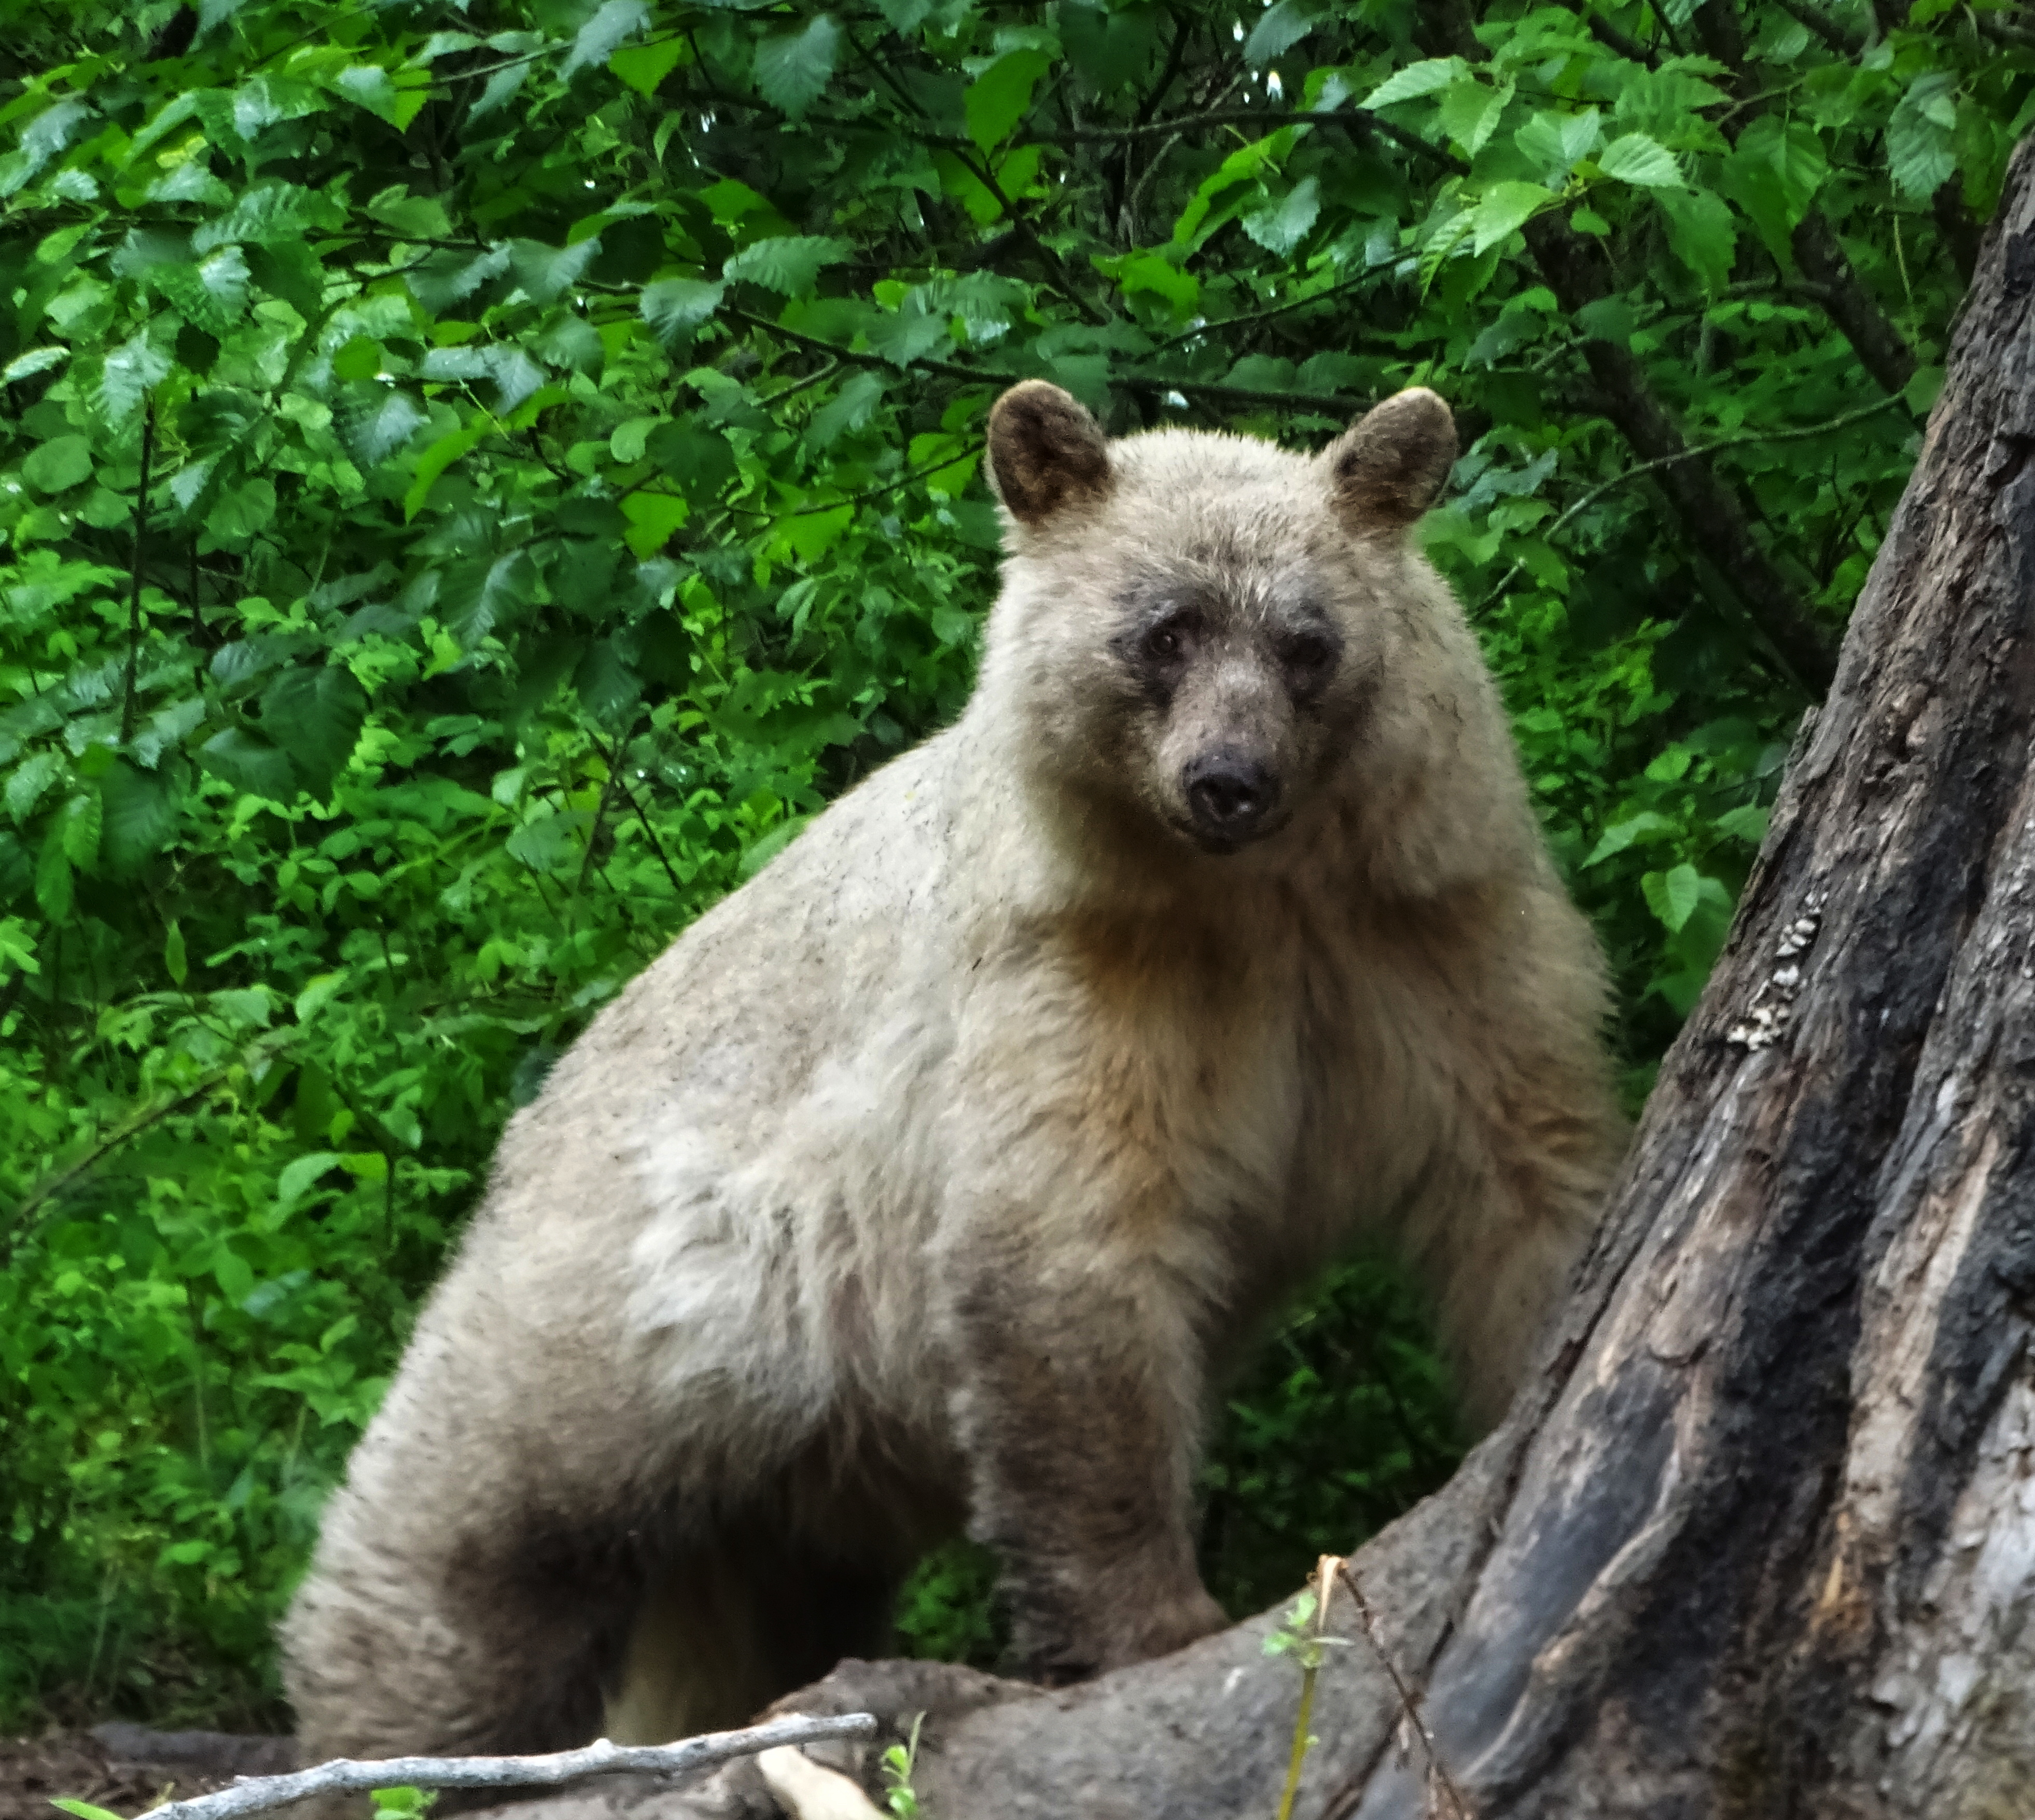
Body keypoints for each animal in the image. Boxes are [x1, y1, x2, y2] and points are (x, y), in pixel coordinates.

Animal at [280, 380, 1626, 1767]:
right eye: (1163, 630)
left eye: (1307, 641)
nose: (1228, 781)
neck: (1261, 899)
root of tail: (530, 1127)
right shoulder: (1078, 981)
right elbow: (1067, 1254)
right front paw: (1153, 1615)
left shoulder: (1431, 940)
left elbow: (1526, 1175)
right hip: (618, 1297)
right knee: (472, 1538)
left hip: (785, 1481)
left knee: (748, 1610)